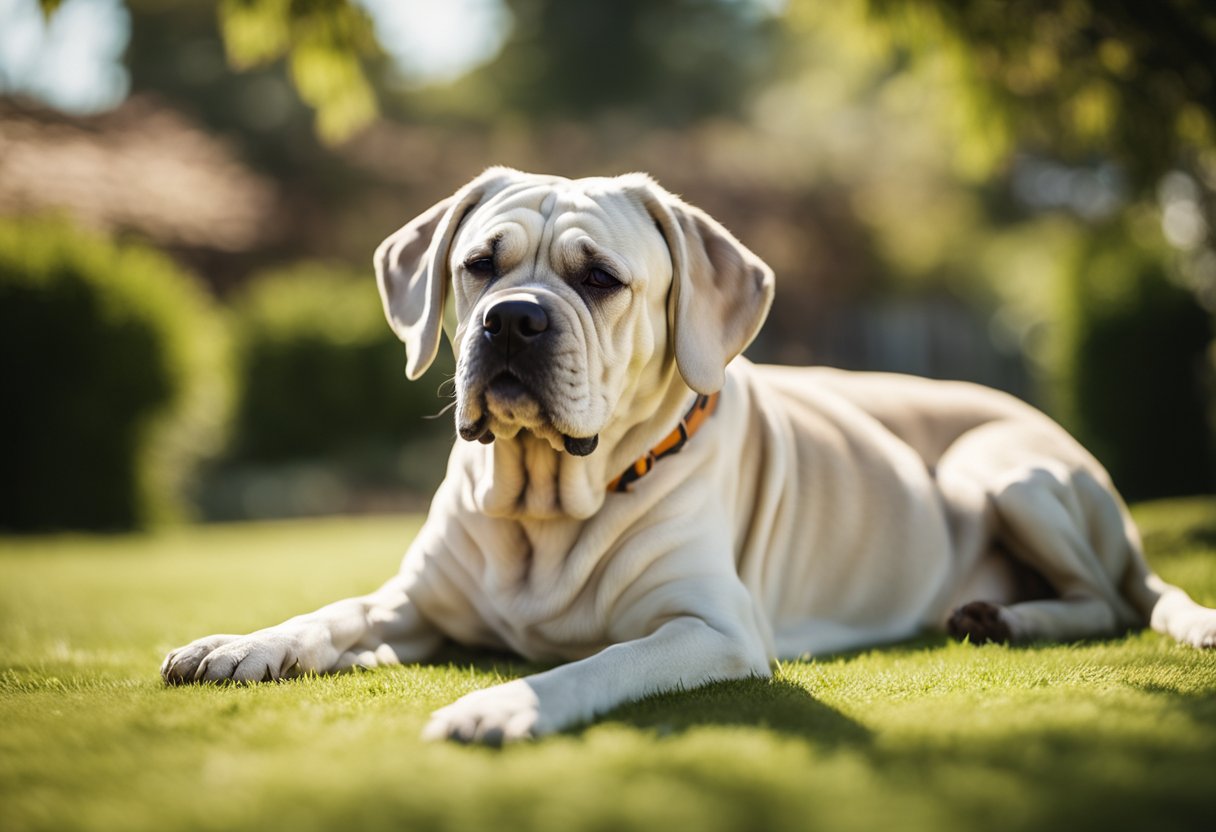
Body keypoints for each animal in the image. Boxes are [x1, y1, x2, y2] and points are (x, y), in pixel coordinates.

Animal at [164, 167, 1216, 739]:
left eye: (599, 278)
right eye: (478, 266)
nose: (512, 322)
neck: (546, 501)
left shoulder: (711, 629)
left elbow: (600, 663)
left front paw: (504, 708)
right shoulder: (413, 601)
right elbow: (332, 615)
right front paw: (242, 644)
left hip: (998, 472)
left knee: (1115, 599)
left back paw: (1011, 618)